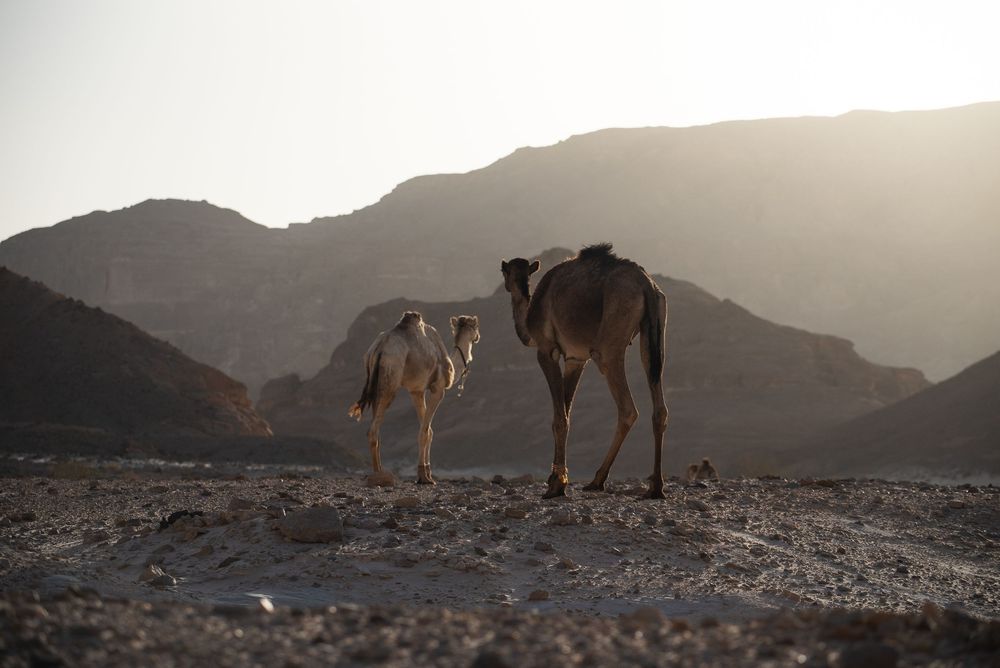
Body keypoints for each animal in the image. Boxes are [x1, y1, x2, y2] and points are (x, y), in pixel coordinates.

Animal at [348, 311, 480, 485]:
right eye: (475, 326)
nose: (478, 336)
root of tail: (378, 349)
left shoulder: (416, 391)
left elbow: (429, 431)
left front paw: (427, 474)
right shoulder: (437, 389)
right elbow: (425, 432)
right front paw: (425, 477)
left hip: (376, 384)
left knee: (375, 425)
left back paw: (380, 471)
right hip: (391, 381)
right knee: (374, 428)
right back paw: (380, 476)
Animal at [501, 243, 668, 499]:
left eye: (505, 272)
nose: (507, 285)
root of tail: (646, 283)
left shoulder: (547, 350)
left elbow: (559, 418)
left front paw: (556, 484)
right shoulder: (575, 359)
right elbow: (566, 411)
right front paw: (556, 478)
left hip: (609, 343)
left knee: (628, 409)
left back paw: (598, 480)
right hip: (655, 329)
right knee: (658, 404)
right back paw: (656, 486)